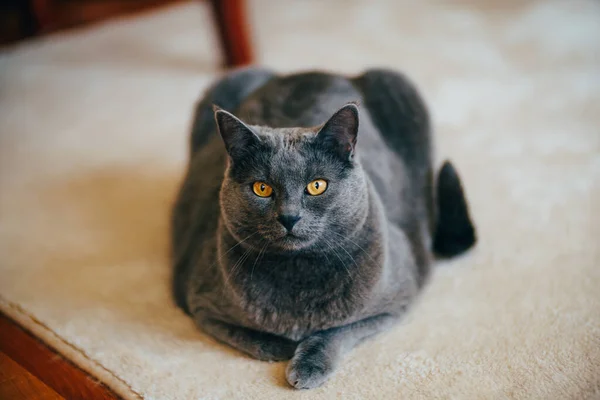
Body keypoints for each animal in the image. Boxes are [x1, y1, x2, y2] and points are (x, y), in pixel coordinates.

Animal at [171, 67, 476, 390]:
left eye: (317, 186)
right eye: (262, 188)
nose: (289, 217)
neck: (298, 273)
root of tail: (316, 72)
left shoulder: (396, 301)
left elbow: (337, 332)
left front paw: (308, 364)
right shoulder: (200, 305)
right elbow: (249, 337)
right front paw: (282, 346)